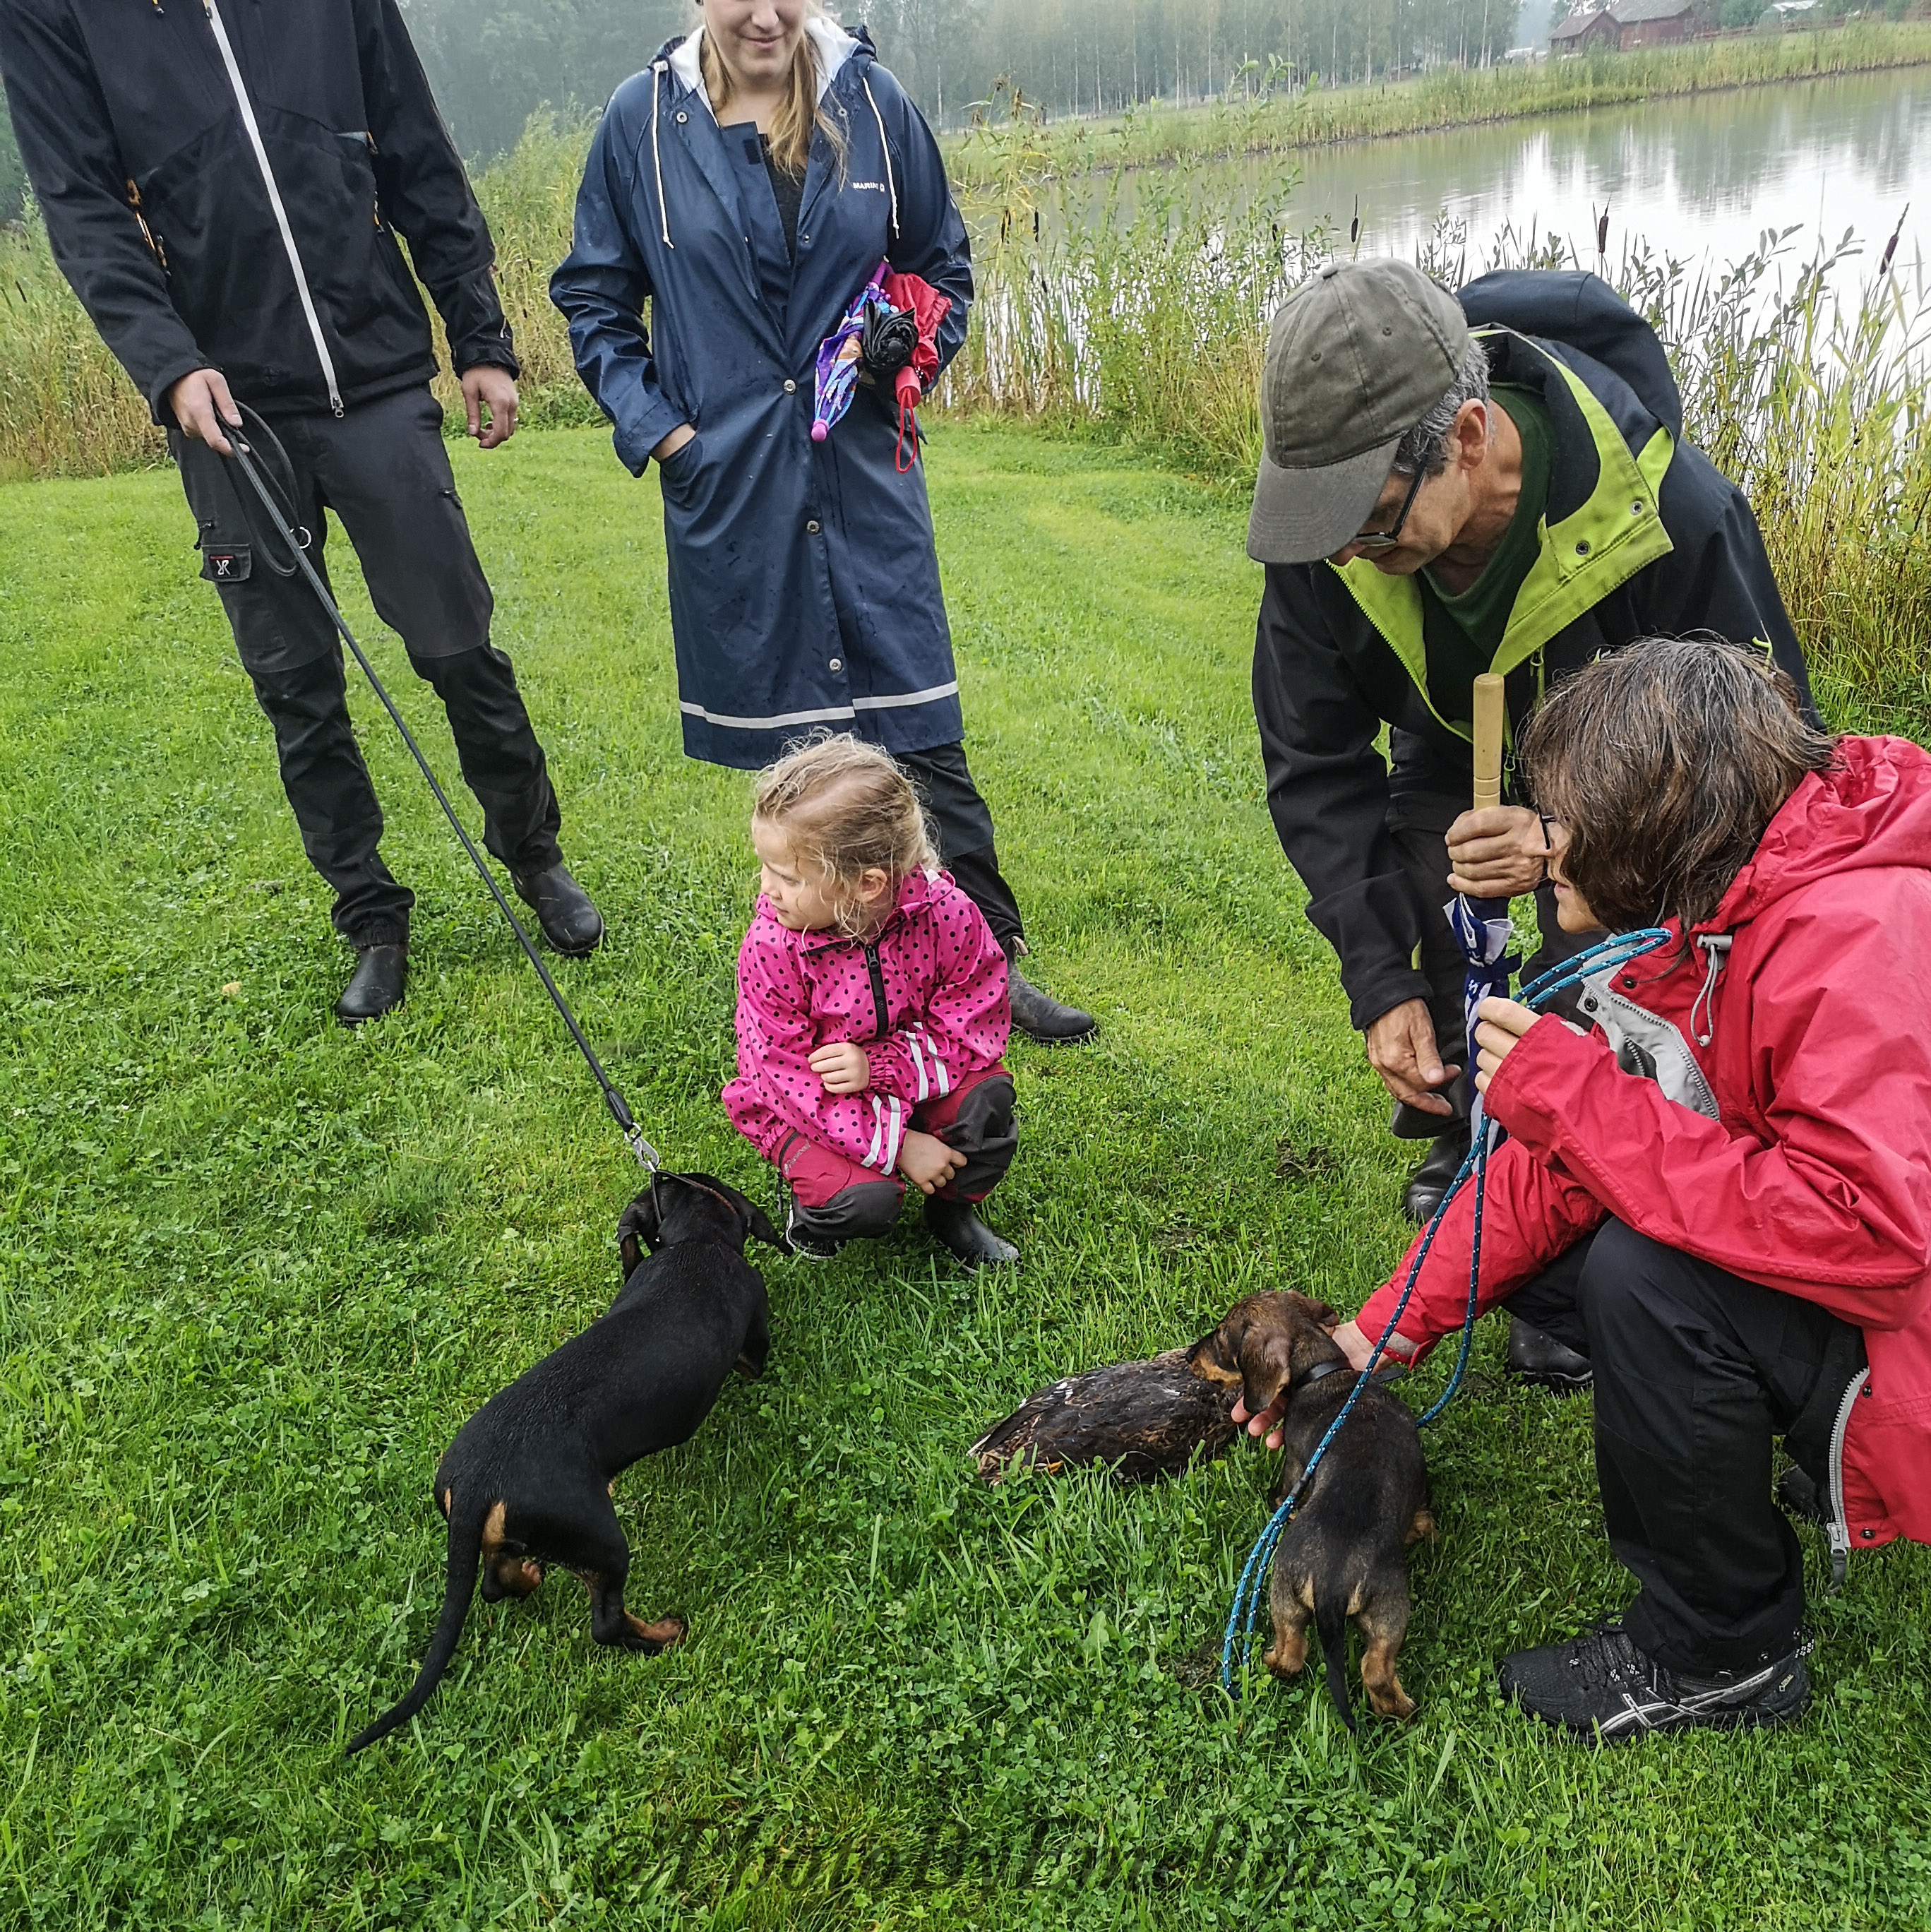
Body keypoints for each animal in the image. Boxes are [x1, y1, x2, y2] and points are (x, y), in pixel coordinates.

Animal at [347, 1167, 784, 1762]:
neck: (697, 1243)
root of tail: (476, 1483)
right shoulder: (753, 1338)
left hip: (518, 1537)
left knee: (494, 1582)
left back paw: (529, 1577)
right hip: (604, 1542)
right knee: (605, 1623)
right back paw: (664, 1634)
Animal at [1181, 1290, 1444, 1731]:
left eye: (1220, 1339)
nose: (1187, 1356)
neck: (1325, 1373)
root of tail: (1330, 1585)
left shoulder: (1293, 1468)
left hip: (1292, 1594)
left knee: (1302, 1657)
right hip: (1369, 1611)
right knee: (1366, 1668)